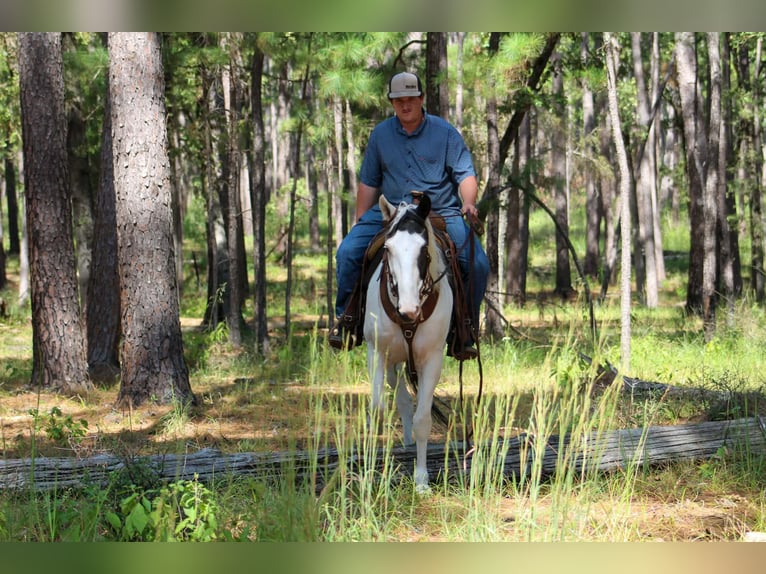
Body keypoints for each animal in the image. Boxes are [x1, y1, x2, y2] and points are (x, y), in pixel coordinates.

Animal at [364, 193, 453, 493]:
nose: (408, 310)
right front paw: (372, 474)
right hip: (393, 360)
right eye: (388, 248)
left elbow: (422, 419)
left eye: (423, 249)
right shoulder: (377, 353)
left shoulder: (432, 359)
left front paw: (422, 480)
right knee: (401, 398)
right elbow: (378, 411)